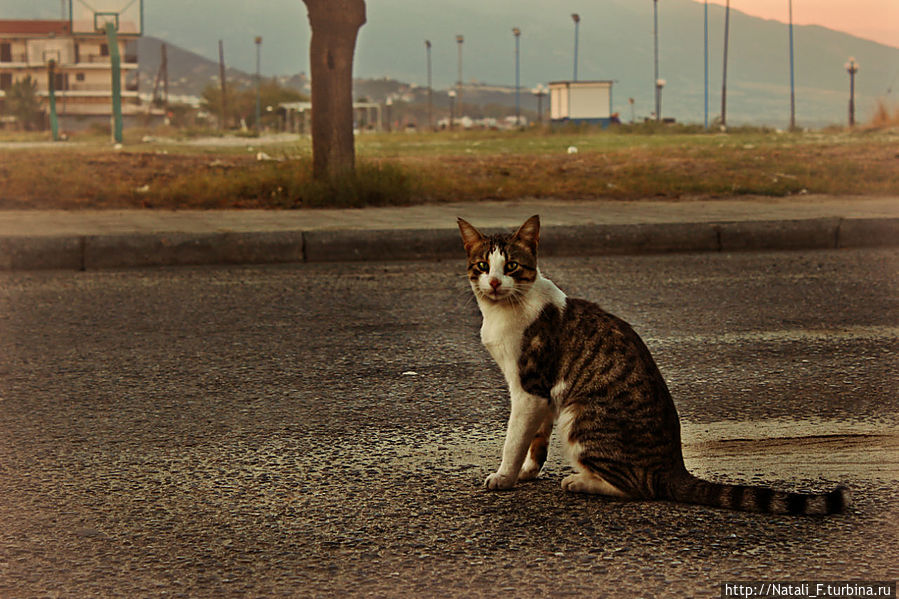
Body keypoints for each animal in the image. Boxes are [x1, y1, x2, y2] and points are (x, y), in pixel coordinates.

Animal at [458, 214, 852, 516]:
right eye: (483, 265)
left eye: (511, 266)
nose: (494, 282)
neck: (504, 310)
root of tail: (674, 467)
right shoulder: (544, 396)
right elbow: (536, 439)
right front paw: (527, 472)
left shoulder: (529, 387)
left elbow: (514, 439)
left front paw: (505, 476)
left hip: (580, 416)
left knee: (639, 487)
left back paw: (581, 481)